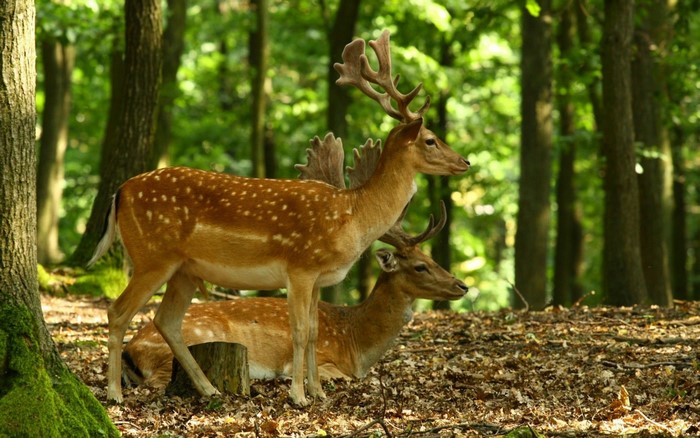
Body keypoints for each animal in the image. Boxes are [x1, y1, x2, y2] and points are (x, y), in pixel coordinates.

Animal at [88, 29, 469, 406]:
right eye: (431, 139)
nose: (465, 161)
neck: (353, 218)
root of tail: (119, 192)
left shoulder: (318, 278)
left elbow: (314, 331)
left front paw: (318, 394)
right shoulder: (300, 266)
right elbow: (299, 331)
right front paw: (298, 396)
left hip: (184, 269)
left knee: (166, 320)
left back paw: (209, 389)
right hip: (152, 256)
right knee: (117, 312)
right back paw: (114, 394)